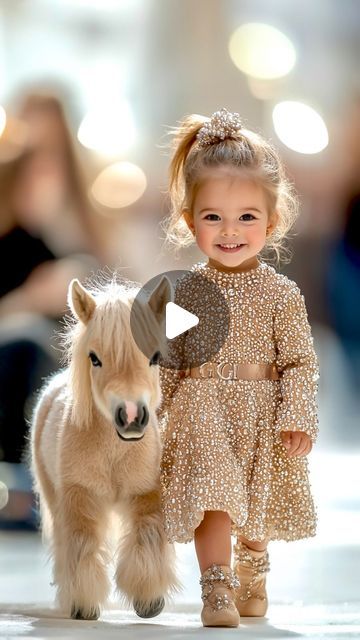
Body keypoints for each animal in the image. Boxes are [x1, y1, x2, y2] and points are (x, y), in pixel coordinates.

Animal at [30, 276, 178, 620]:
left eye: (154, 357)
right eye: (94, 358)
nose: (132, 416)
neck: (114, 453)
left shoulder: (147, 495)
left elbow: (148, 536)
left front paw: (149, 600)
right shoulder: (78, 498)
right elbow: (82, 546)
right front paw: (83, 605)